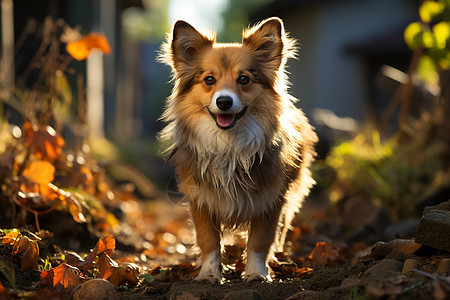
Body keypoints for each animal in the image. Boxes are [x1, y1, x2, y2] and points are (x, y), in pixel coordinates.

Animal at [158, 17, 316, 282]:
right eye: (209, 80)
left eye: (244, 79)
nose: (224, 101)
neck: (229, 144)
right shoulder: (201, 201)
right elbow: (208, 241)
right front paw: (209, 275)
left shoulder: (270, 201)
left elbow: (260, 242)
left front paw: (257, 274)